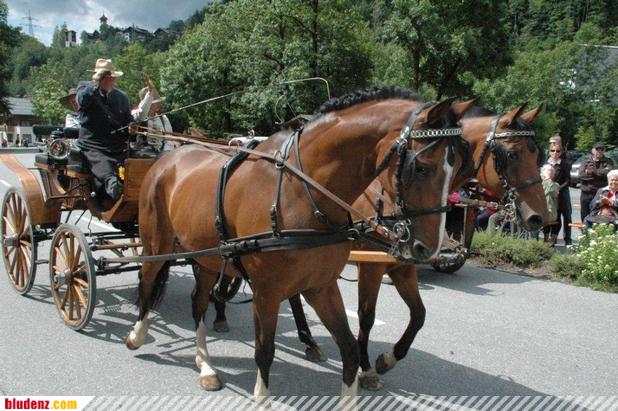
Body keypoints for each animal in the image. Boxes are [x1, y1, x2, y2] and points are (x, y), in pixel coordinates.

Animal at [126, 86, 473, 401]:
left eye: (459, 167)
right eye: (422, 168)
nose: (430, 249)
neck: (302, 194)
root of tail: (171, 155)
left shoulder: (321, 286)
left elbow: (349, 349)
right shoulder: (267, 292)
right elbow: (264, 352)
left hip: (209, 257)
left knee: (198, 301)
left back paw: (206, 366)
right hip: (157, 244)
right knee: (148, 278)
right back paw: (137, 334)